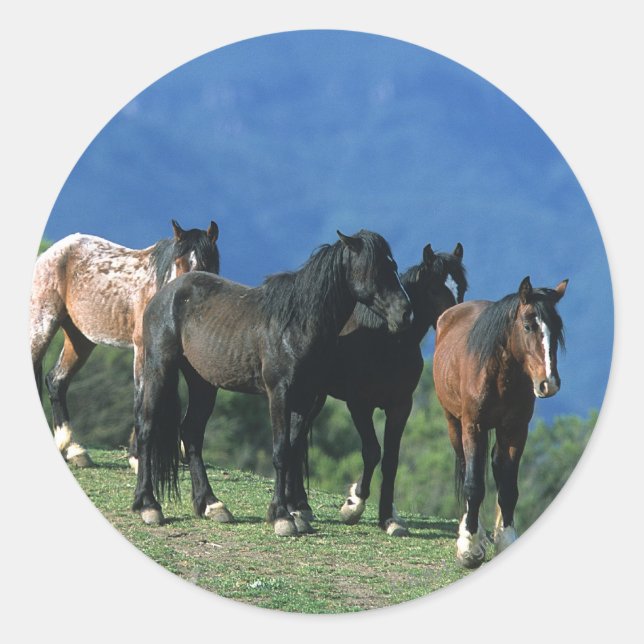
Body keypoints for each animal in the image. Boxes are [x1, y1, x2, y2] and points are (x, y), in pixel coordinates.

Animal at [30, 219, 220, 467]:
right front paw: (138, 457)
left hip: (80, 339)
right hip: (43, 323)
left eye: (205, 264)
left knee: (56, 381)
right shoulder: (142, 350)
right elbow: (143, 399)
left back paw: (73, 450)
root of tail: (52, 252)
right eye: (177, 263)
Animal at [133, 230, 412, 537]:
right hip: (159, 368)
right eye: (375, 269)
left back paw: (211, 504)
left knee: (191, 433)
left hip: (203, 383)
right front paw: (282, 516)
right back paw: (148, 506)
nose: (404, 313)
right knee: (147, 428)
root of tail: (165, 294)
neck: (296, 324)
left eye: (393, 266)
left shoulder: (305, 397)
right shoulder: (280, 394)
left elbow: (292, 450)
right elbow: (280, 452)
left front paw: (294, 513)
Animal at [286, 243, 467, 536]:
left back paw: (302, 503)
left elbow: (391, 459)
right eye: (434, 288)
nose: (455, 323)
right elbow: (372, 451)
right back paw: (296, 505)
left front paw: (388, 518)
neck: (385, 341)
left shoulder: (401, 406)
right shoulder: (359, 405)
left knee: (299, 438)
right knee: (295, 437)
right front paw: (353, 504)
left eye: (461, 288)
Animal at [433, 275, 567, 568]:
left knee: (495, 464)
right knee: (466, 466)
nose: (548, 383)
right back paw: (470, 530)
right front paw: (469, 548)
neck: (499, 374)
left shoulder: (516, 431)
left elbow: (508, 488)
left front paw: (505, 540)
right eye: (528, 325)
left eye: (558, 328)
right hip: (454, 424)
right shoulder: (473, 427)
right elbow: (473, 484)